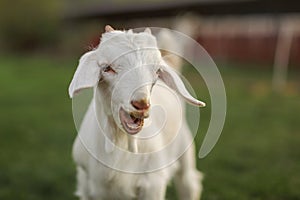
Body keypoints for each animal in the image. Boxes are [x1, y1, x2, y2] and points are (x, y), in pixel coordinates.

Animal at [67, 25, 205, 200]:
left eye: (157, 71)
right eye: (107, 68)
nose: (141, 104)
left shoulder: (153, 184)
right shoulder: (87, 184)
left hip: (184, 151)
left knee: (188, 183)